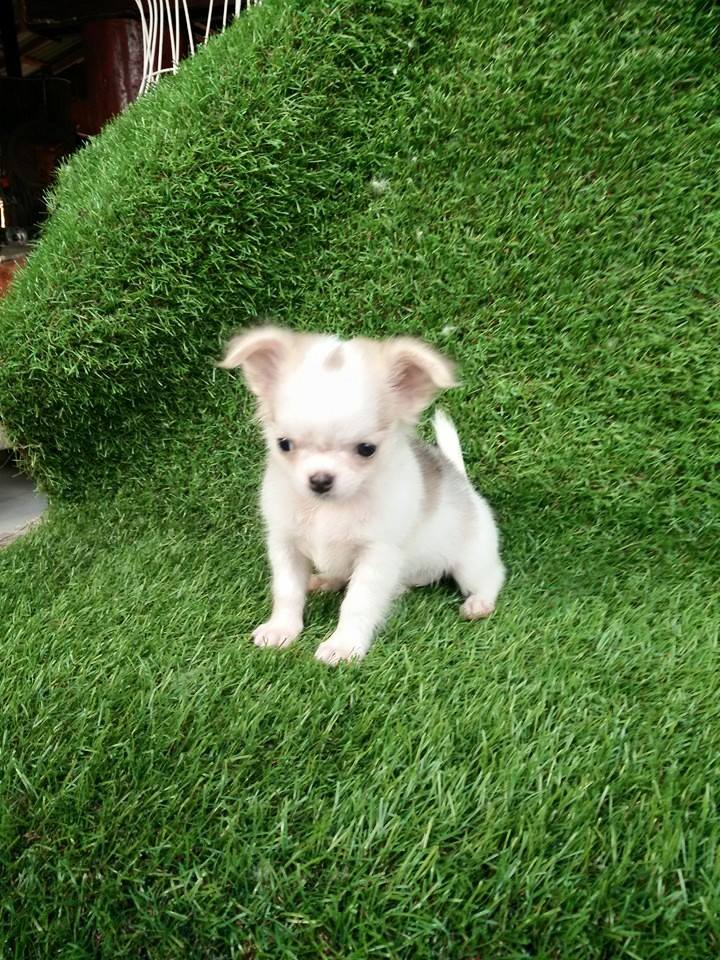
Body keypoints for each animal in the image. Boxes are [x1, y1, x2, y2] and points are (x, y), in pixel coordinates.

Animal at [219, 327, 505, 664]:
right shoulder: (285, 545)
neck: (327, 509)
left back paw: (479, 603)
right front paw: (282, 629)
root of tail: (462, 480)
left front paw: (343, 646)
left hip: (471, 560)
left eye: (367, 449)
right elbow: (287, 591)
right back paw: (325, 581)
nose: (320, 480)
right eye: (284, 444)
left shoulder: (376, 555)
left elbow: (357, 603)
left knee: (491, 576)